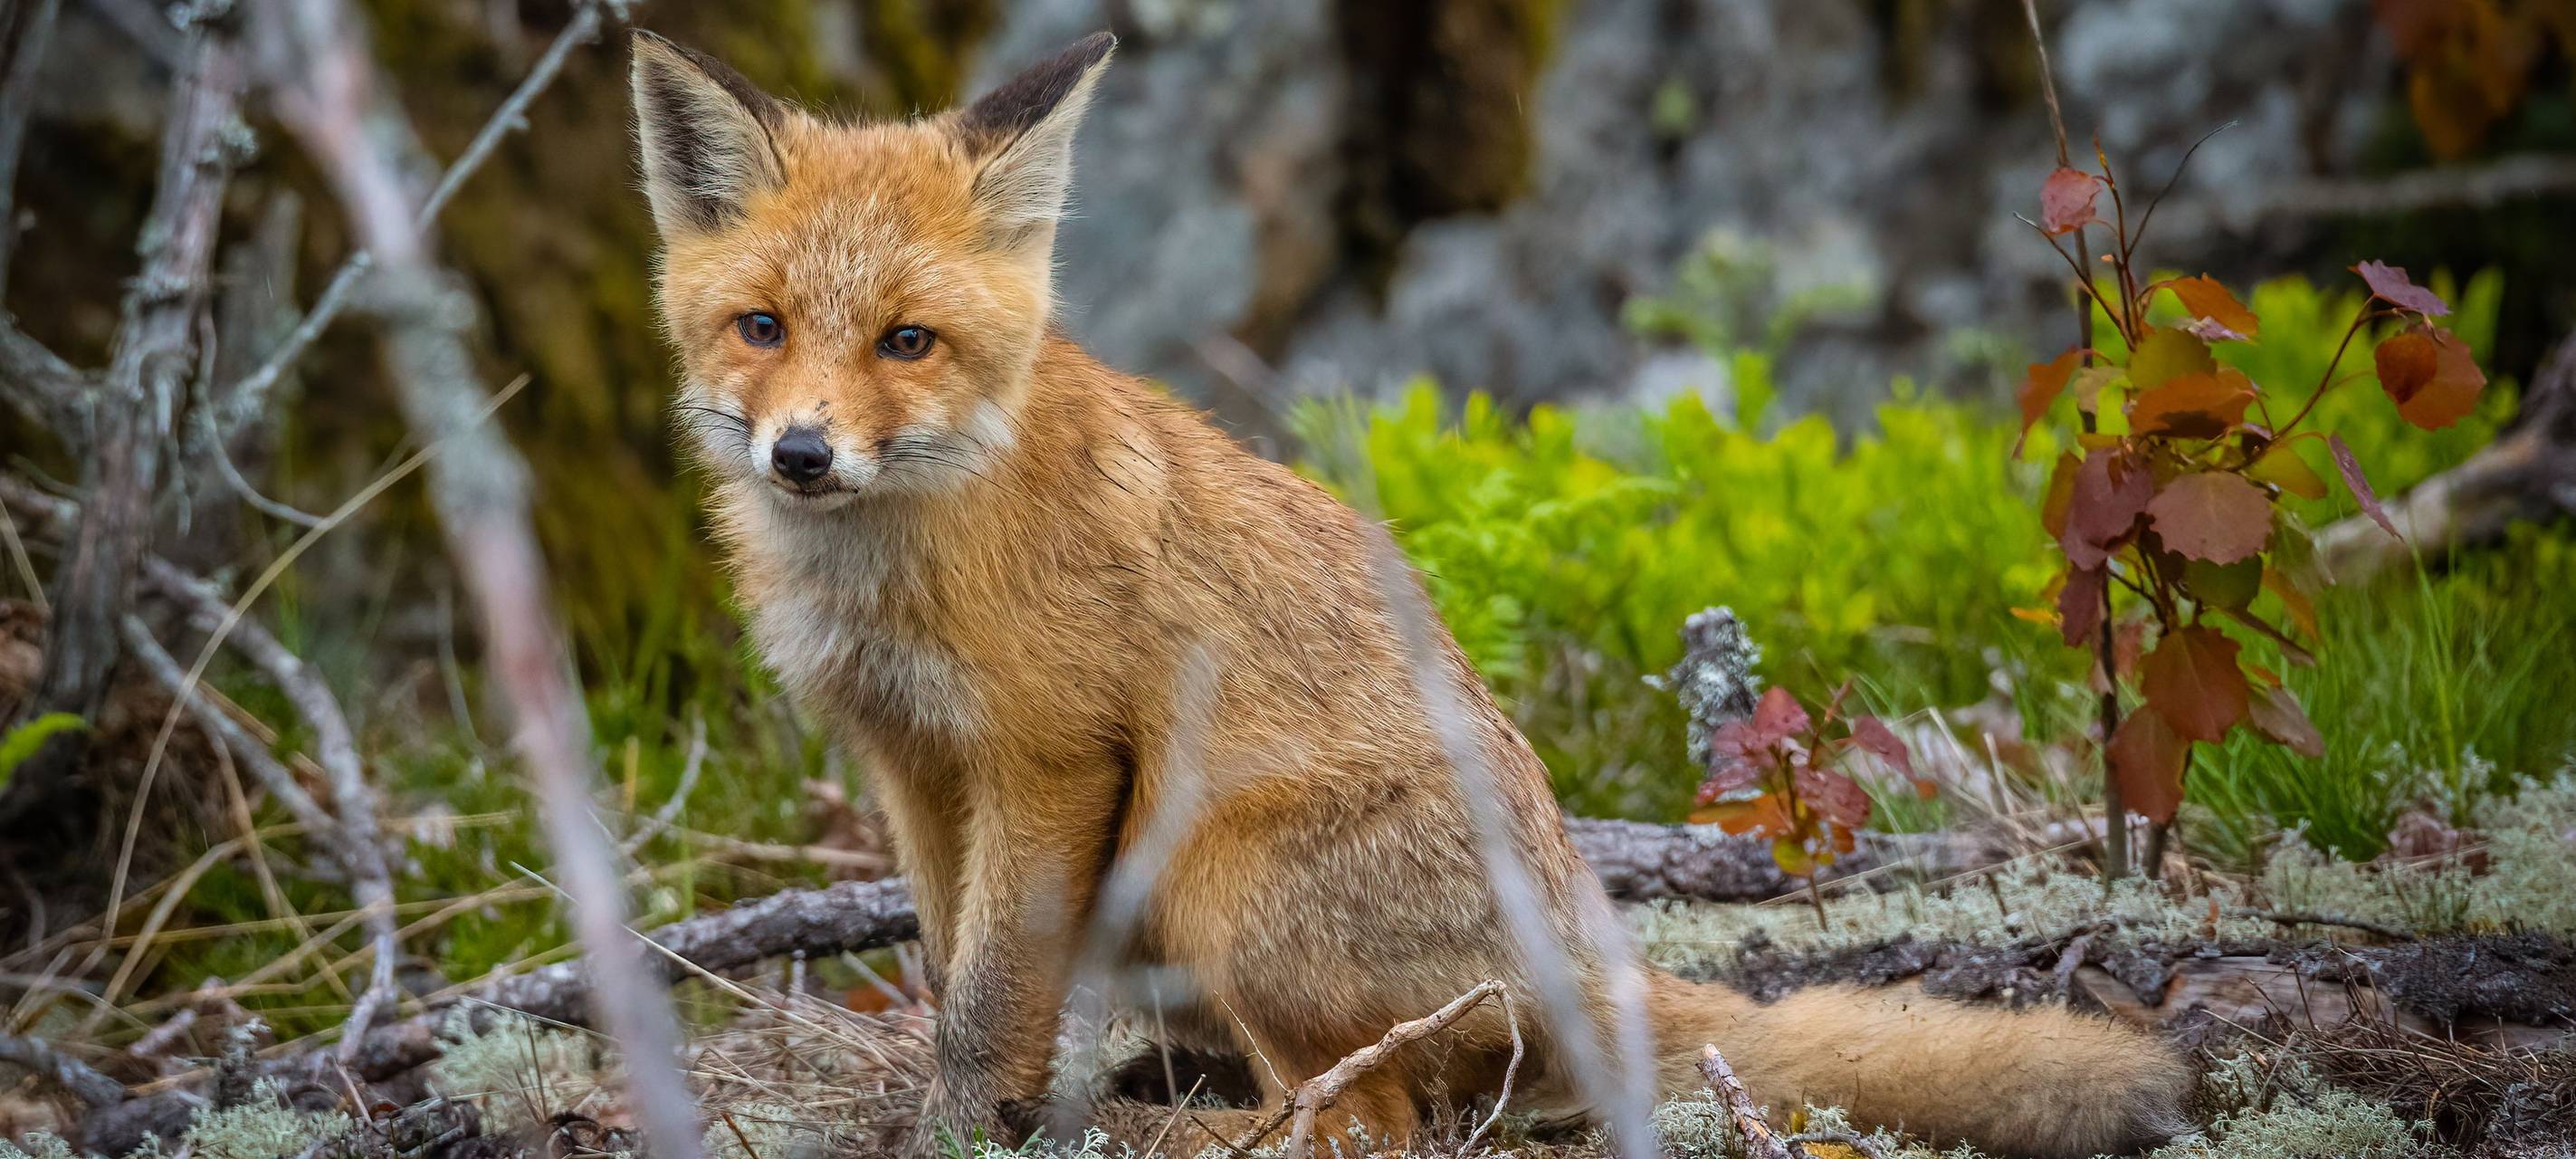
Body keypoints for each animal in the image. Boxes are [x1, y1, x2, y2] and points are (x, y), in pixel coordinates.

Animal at [629, 29, 2194, 1159]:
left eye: (907, 342)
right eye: (761, 328)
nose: (803, 454)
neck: (897, 567)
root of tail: (1590, 944)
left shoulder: (1046, 759)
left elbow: (988, 996)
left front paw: (968, 1131)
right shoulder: (910, 766)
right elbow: (954, 966)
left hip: (1217, 870)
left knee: (1364, 1125)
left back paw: (1177, 1128)